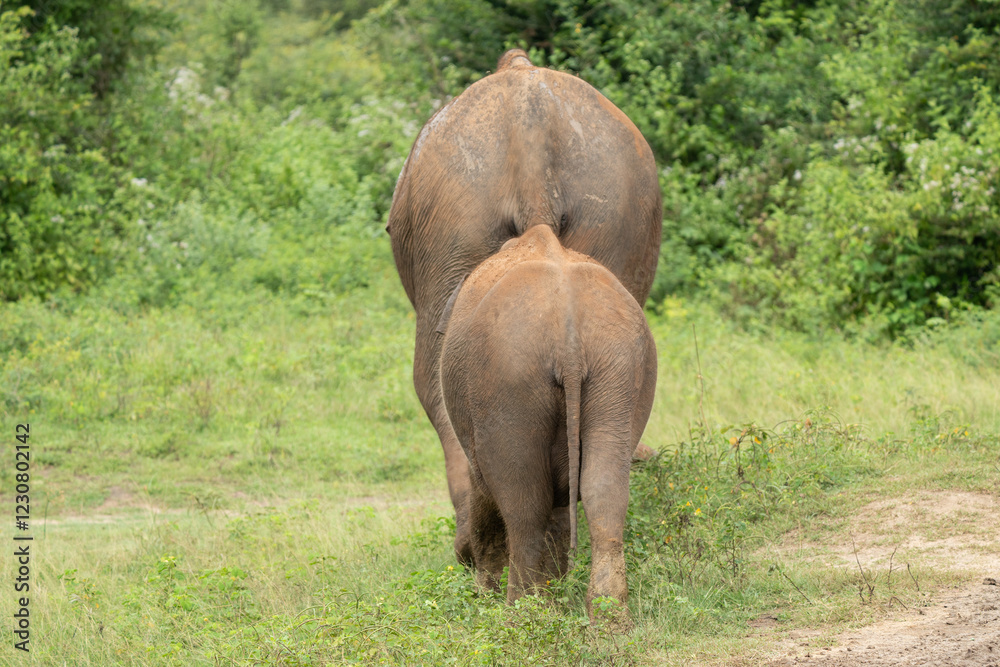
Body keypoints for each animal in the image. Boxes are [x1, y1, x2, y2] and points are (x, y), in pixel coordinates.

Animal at [439, 224, 657, 624]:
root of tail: (569, 341)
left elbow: (487, 494)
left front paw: (488, 597)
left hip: (507, 382)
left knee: (523, 503)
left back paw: (521, 616)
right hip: (619, 369)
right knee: (604, 487)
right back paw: (609, 621)